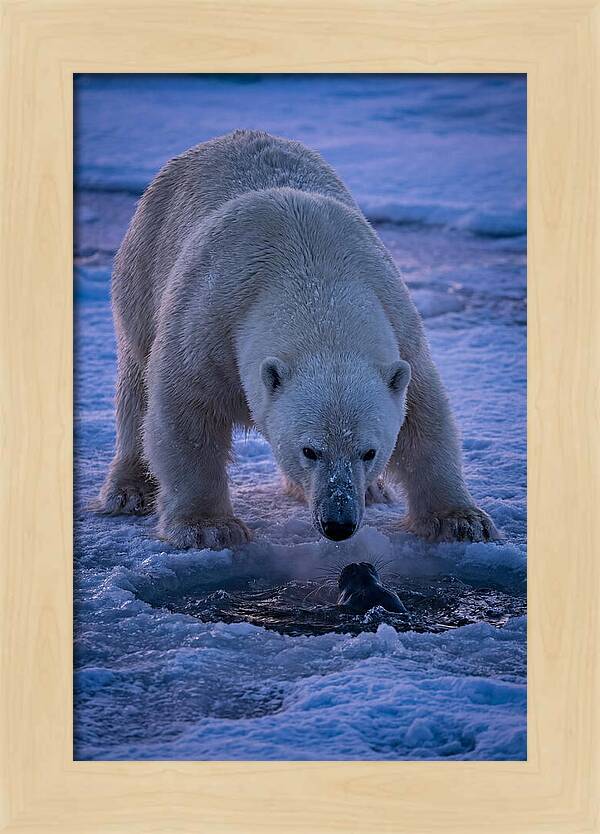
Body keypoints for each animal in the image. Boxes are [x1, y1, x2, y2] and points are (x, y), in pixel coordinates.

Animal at [97, 129, 499, 549]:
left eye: (369, 451)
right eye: (310, 450)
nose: (338, 523)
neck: (313, 274)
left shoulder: (399, 324)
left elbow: (425, 416)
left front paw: (462, 521)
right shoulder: (209, 322)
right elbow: (186, 415)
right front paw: (208, 527)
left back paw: (374, 491)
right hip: (143, 267)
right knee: (136, 383)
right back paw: (129, 490)